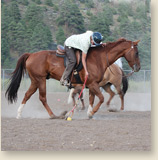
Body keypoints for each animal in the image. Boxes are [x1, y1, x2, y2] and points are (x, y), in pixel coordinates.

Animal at [5, 37, 141, 119]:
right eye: (136, 53)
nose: (138, 67)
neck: (98, 58)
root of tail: (31, 55)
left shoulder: (92, 84)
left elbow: (92, 99)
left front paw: (89, 112)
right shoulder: (92, 84)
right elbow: (100, 98)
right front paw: (91, 113)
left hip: (35, 81)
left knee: (27, 95)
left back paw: (19, 114)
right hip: (40, 80)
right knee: (42, 98)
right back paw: (54, 115)